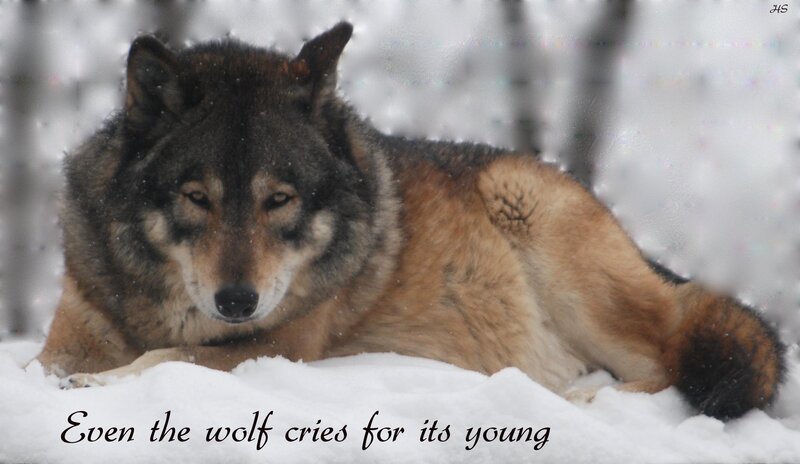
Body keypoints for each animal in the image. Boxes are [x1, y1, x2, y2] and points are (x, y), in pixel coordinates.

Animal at [35, 22, 784, 420]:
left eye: (279, 200)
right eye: (198, 197)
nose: (237, 301)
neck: (163, 306)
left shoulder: (281, 347)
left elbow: (168, 356)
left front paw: (97, 385)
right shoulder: (73, 327)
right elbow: (53, 362)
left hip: (537, 219)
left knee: (666, 364)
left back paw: (576, 401)